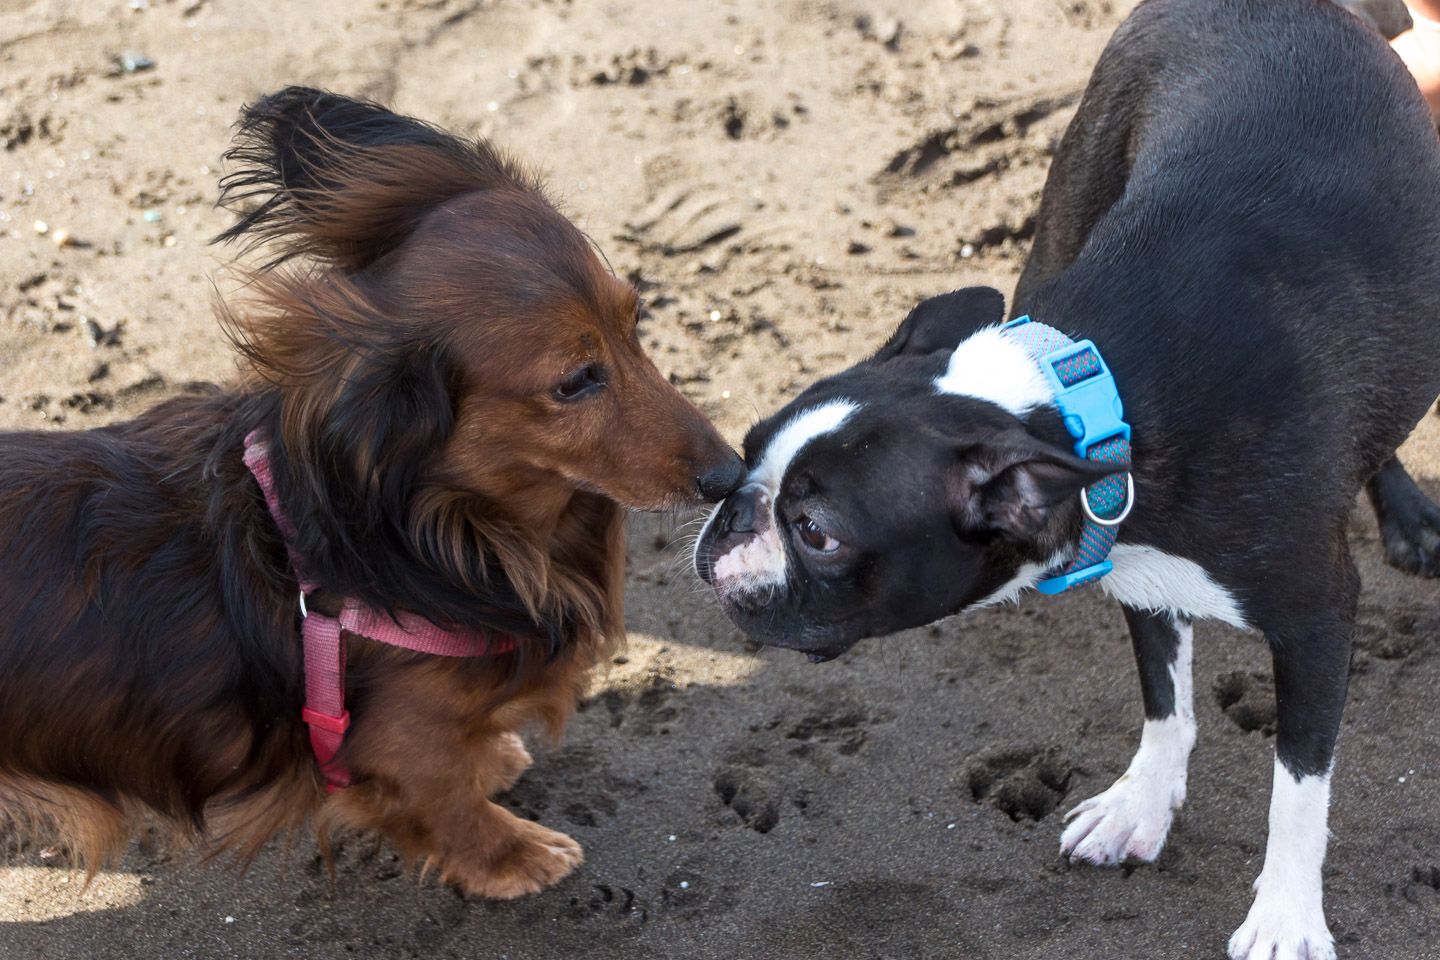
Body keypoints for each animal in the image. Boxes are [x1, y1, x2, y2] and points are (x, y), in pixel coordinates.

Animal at [691, 3, 1440, 955]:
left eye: (815, 532)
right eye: (747, 449)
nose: (726, 513)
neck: (1089, 395)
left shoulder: (1315, 618)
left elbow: (1298, 787)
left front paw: (1284, 915)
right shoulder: (1131, 556)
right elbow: (1165, 697)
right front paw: (1142, 805)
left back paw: (1408, 514)